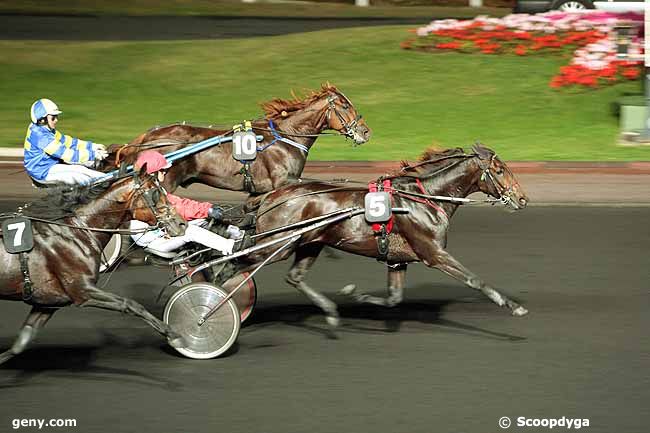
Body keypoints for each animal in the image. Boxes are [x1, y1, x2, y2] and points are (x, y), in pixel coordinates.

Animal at [0, 170, 187, 364]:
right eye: (155, 193)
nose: (181, 223)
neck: (75, 231)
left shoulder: (46, 303)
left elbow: (20, 343)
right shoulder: (82, 292)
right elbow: (130, 304)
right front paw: (175, 335)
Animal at [104, 83, 372, 193]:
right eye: (345, 105)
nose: (365, 131)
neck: (286, 136)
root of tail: (149, 136)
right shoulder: (283, 182)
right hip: (165, 181)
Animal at [235, 143, 528, 326]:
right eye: (499, 170)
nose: (522, 199)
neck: (424, 198)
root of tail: (271, 196)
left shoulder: (397, 260)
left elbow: (394, 298)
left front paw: (356, 294)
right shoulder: (434, 253)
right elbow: (475, 280)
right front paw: (514, 306)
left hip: (309, 244)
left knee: (293, 277)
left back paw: (330, 311)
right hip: (276, 245)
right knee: (235, 264)